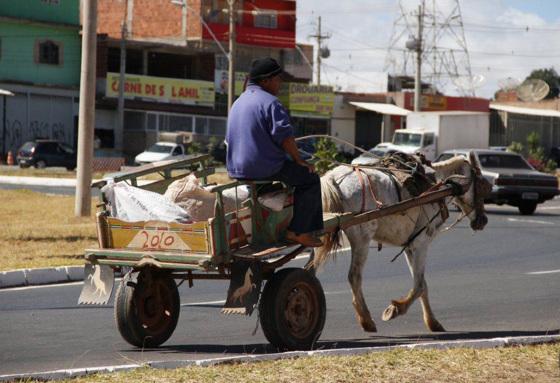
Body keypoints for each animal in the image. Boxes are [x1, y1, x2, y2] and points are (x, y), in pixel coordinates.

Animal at [312, 153, 492, 332]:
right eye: (483, 186)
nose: (483, 221)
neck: (436, 184)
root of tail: (333, 177)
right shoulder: (421, 243)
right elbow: (419, 285)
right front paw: (395, 309)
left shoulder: (409, 246)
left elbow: (423, 284)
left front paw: (433, 322)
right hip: (361, 239)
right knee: (354, 276)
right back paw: (366, 320)